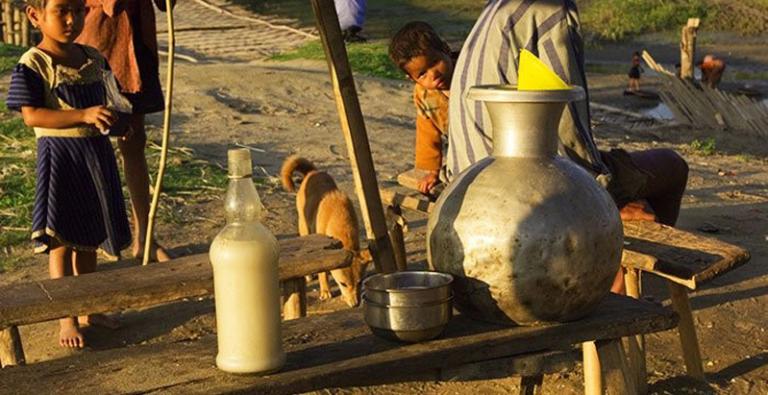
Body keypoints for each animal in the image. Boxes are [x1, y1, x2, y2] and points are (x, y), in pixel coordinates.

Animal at [280, 156, 370, 308]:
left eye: (360, 282)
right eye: (343, 284)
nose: (355, 304)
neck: (340, 219)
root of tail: (312, 172)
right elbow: (323, 273)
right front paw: (325, 291)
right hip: (304, 226)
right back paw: (309, 276)